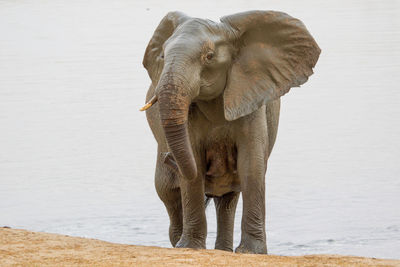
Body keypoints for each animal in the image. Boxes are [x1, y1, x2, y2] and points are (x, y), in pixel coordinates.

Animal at [142, 9, 320, 254]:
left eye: (209, 56)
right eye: (162, 56)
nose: (168, 156)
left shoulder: (252, 100)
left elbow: (251, 164)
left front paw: (252, 252)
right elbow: (194, 163)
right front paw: (190, 248)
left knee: (228, 199)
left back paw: (223, 251)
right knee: (168, 191)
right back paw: (180, 242)